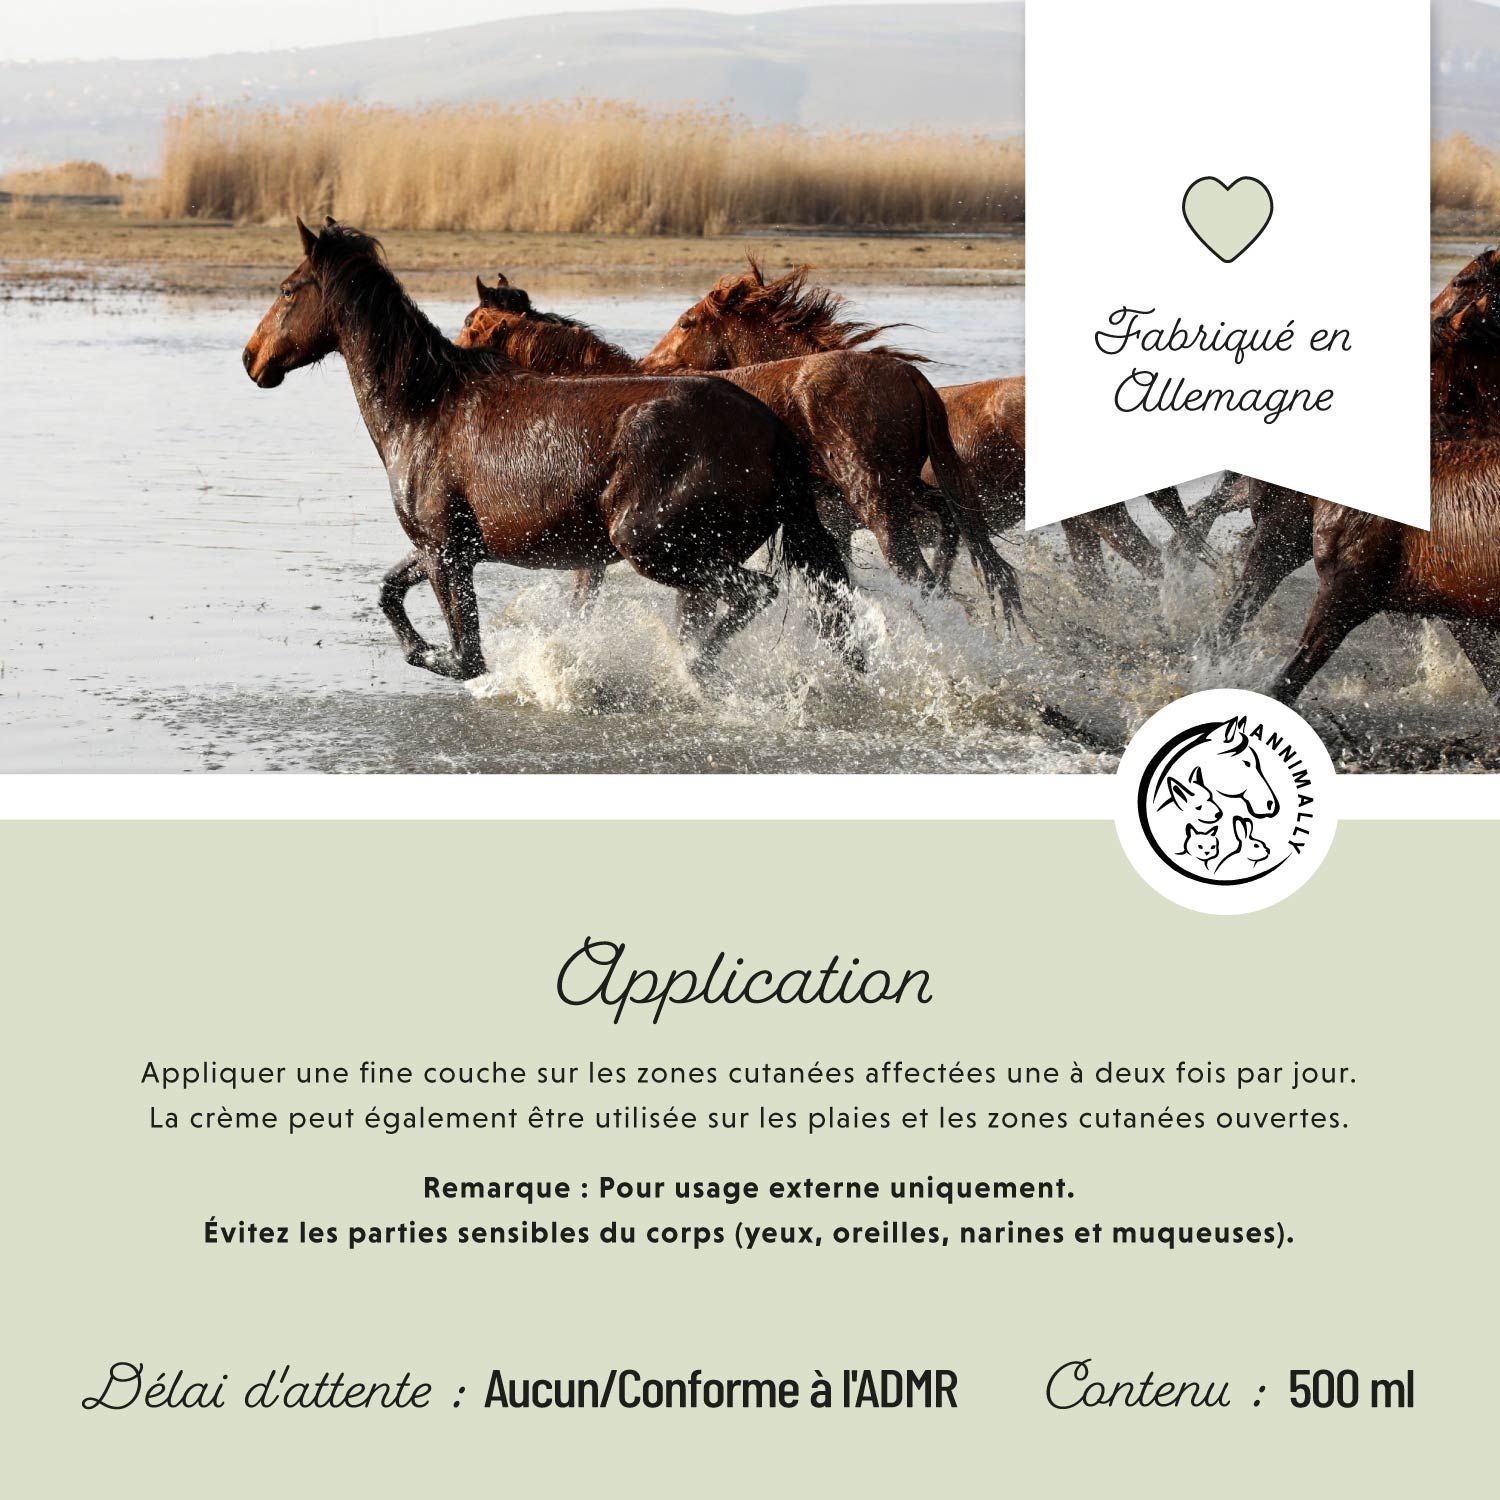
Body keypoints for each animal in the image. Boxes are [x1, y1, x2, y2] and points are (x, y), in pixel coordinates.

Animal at [241, 219, 861, 681]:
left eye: (287, 289)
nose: (252, 359)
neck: (424, 409)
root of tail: (772, 430)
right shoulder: (445, 548)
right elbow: (388, 591)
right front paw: (418, 647)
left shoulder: (445, 553)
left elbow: (467, 660)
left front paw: (439, 656)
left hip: (655, 547)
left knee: (757, 592)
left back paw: (693, 668)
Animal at [461, 275, 1024, 626]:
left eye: (469, 326)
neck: (603, 396)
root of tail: (910, 376)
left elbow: (584, 598)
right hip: (907, 490)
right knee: (952, 531)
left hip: (878, 500)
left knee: (919, 574)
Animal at [644, 261, 1224, 593]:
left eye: (686, 322)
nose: (646, 366)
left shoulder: (839, 525)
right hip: (1079, 522)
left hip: (1099, 515)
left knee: (1149, 565)